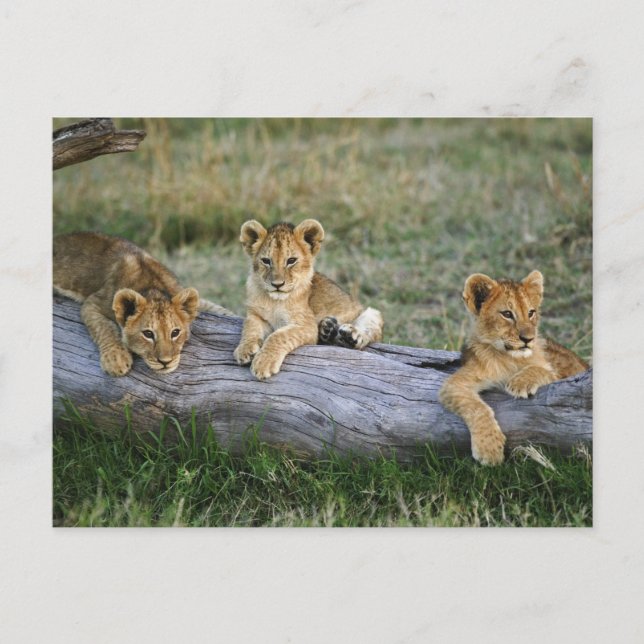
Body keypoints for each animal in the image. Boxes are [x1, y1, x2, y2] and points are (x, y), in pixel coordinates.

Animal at [53, 231, 231, 377]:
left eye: (175, 333)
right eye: (148, 334)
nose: (165, 362)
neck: (153, 286)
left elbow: (214, 307)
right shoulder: (94, 303)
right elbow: (104, 328)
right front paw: (116, 359)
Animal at [233, 219, 384, 380]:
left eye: (291, 260)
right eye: (266, 261)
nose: (277, 284)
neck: (275, 301)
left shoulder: (306, 325)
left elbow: (278, 336)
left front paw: (263, 363)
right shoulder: (255, 314)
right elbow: (249, 328)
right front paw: (244, 349)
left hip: (371, 312)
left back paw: (349, 336)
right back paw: (328, 328)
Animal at [439, 270, 588, 465]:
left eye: (531, 313)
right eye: (507, 314)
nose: (528, 339)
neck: (510, 359)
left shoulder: (560, 377)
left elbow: (541, 370)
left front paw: (520, 383)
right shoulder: (455, 384)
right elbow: (477, 408)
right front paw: (489, 449)